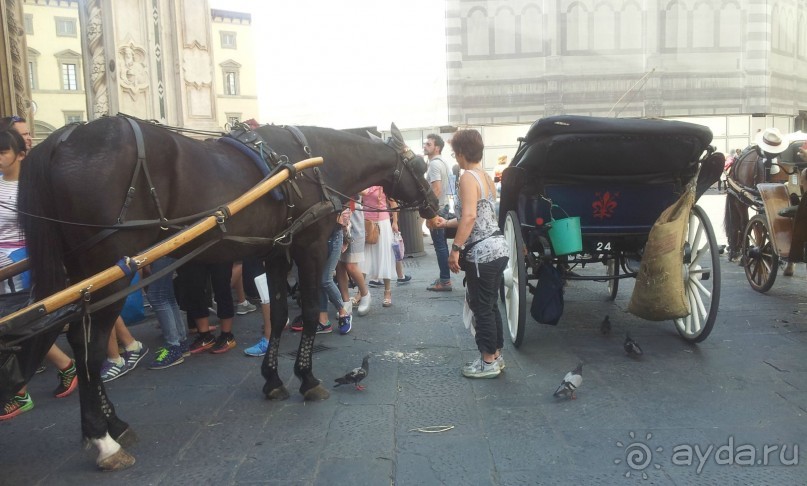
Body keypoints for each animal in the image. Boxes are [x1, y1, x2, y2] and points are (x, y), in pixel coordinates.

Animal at [7, 116, 436, 468]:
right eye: (418, 165)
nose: (433, 206)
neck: (315, 162)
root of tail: (64, 138)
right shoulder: (309, 247)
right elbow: (312, 310)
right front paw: (307, 378)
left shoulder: (276, 250)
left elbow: (281, 314)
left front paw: (273, 379)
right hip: (110, 271)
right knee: (90, 348)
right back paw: (102, 439)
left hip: (84, 274)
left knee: (80, 345)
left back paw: (114, 424)